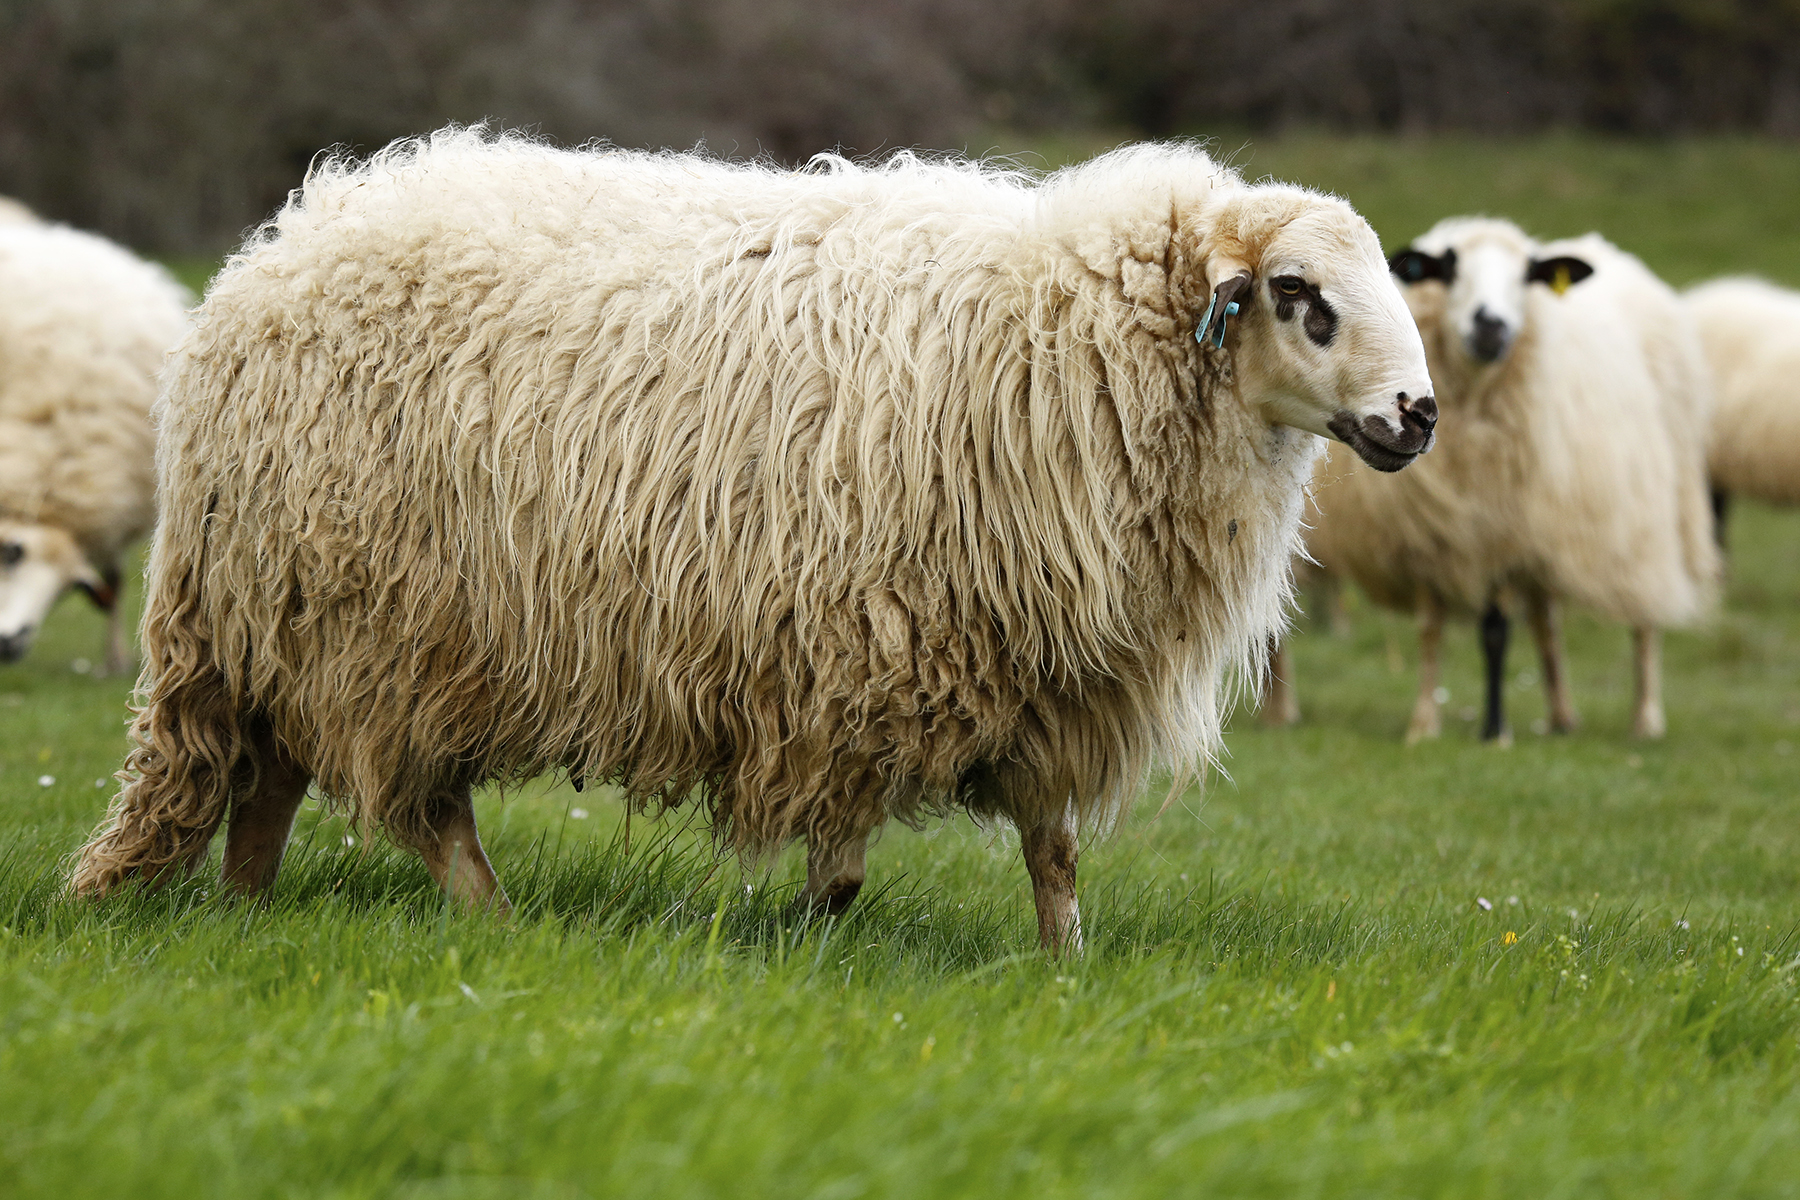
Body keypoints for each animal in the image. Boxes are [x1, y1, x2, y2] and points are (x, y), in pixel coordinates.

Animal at [69, 129, 1436, 952]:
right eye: (1301, 299)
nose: (1418, 415)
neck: (1084, 341)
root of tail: (272, 256)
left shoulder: (1041, 678)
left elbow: (1050, 850)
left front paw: (1066, 968)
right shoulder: (864, 661)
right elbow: (845, 853)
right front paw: (810, 943)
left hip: (293, 614)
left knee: (272, 779)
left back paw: (247, 915)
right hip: (382, 620)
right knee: (417, 805)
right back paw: (494, 924)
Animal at [1285, 217, 1718, 743]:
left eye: (1528, 275)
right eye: (1449, 269)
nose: (1490, 325)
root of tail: (1608, 251)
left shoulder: (1501, 534)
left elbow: (1494, 631)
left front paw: (1494, 731)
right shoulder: (1430, 533)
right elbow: (1430, 629)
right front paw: (1423, 725)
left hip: (1650, 506)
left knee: (1645, 618)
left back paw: (1646, 718)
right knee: (1546, 620)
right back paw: (1561, 716)